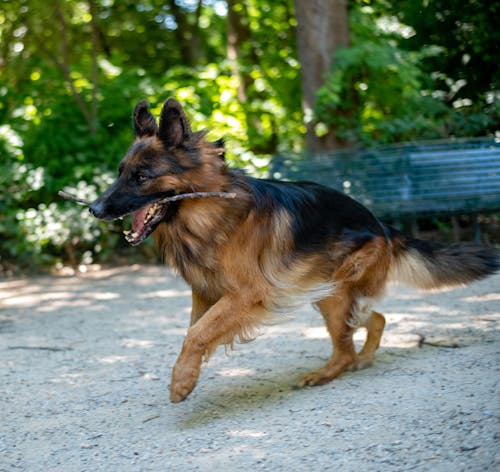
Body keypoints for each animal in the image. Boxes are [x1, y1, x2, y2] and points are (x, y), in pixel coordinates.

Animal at [91, 98, 500, 402]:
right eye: (120, 172)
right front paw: (187, 373)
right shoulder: (206, 293)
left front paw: (181, 382)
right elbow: (197, 331)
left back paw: (326, 373)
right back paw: (364, 357)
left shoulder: (246, 293)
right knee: (374, 320)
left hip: (334, 292)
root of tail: (382, 225)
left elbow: (197, 334)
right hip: (327, 291)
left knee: (348, 342)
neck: (209, 210)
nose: (94, 209)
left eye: (141, 177)